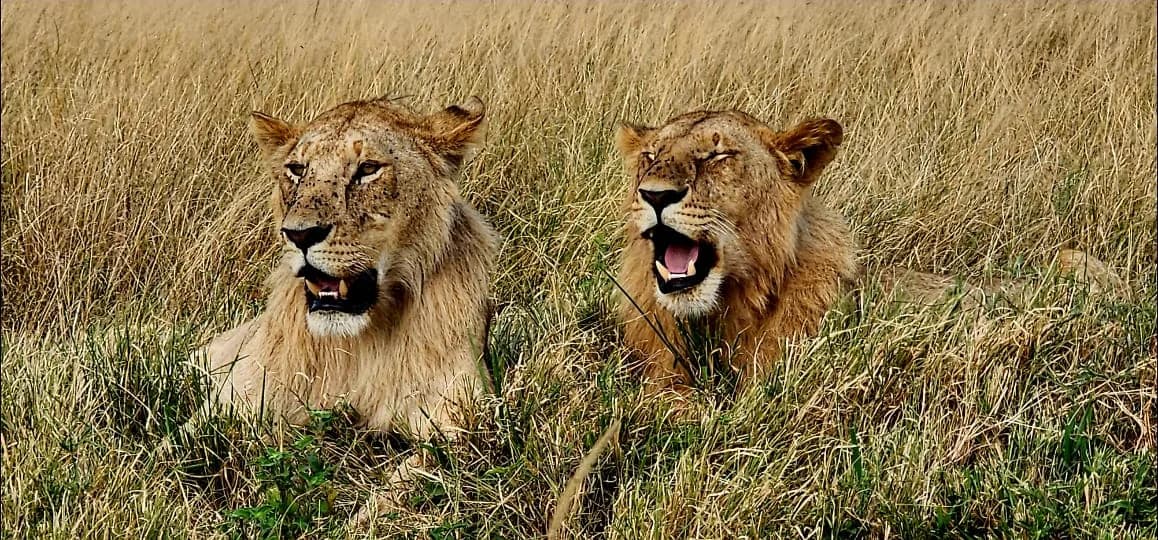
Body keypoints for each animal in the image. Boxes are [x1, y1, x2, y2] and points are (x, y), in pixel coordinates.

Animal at [191, 96, 496, 451]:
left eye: (368, 169)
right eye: (297, 170)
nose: (300, 235)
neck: (356, 346)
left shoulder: (462, 416)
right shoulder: (237, 396)